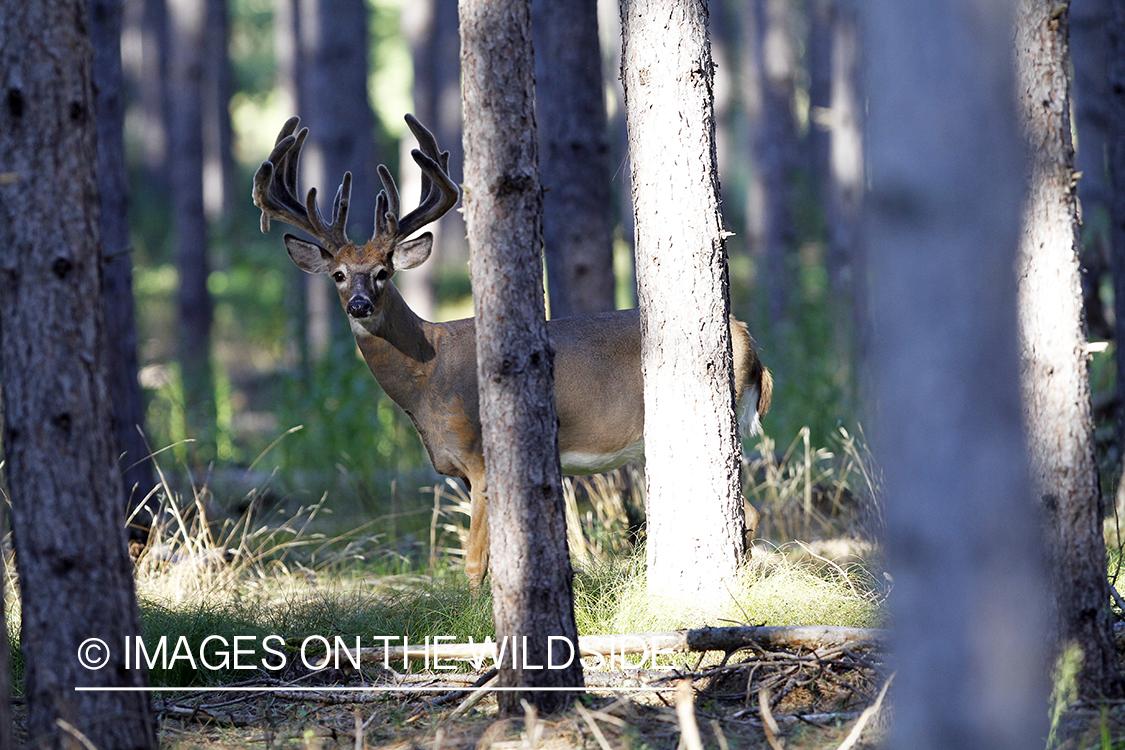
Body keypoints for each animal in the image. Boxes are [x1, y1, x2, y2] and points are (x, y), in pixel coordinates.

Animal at [254, 114, 774, 589]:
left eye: (384, 271)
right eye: (338, 275)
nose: (359, 304)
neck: (427, 378)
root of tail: (746, 334)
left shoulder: (480, 455)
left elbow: (474, 563)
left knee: (749, 513)